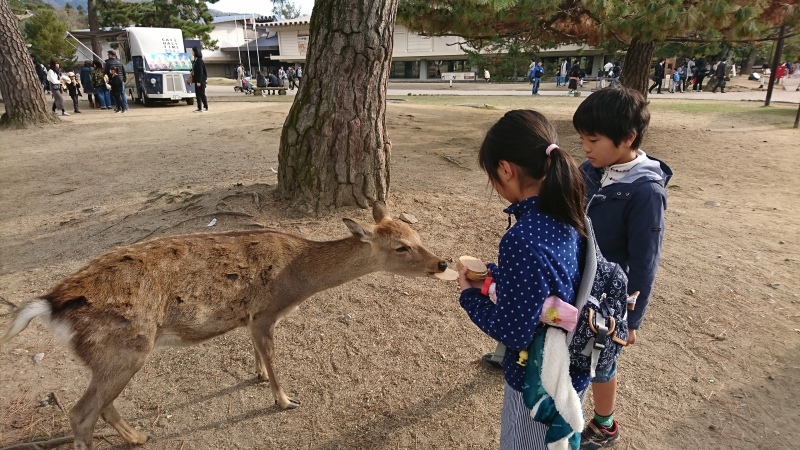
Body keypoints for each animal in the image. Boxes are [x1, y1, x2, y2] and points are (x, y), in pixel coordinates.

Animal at [0, 202, 446, 448]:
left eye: (416, 233)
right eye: (400, 247)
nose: (442, 263)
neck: (298, 280)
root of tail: (51, 304)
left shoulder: (250, 317)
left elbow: (257, 352)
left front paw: (256, 376)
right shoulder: (266, 312)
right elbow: (274, 359)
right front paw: (285, 401)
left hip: (110, 356)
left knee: (100, 406)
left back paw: (140, 437)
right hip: (125, 346)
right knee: (81, 413)